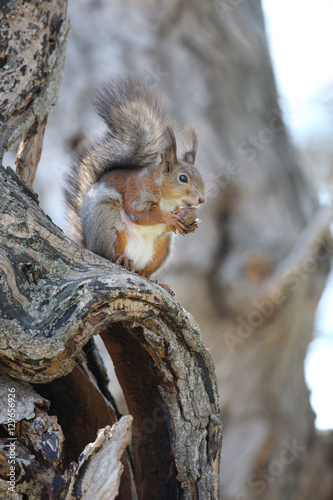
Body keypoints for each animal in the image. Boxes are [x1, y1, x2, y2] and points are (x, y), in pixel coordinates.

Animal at [63, 75, 205, 292]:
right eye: (183, 178)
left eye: (201, 177)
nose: (202, 199)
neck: (166, 198)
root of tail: (90, 246)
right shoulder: (139, 191)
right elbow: (139, 213)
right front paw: (169, 218)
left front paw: (192, 225)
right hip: (107, 220)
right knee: (109, 255)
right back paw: (121, 259)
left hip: (161, 248)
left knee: (142, 272)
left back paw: (155, 281)